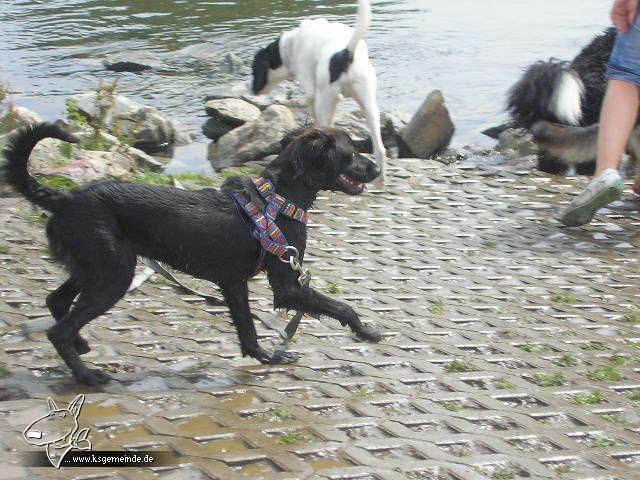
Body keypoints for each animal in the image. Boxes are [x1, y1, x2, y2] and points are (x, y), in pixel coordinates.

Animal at [2, 123, 382, 386]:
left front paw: (261, 357)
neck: (279, 196)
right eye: (353, 152)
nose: (377, 168)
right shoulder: (288, 287)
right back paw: (87, 375)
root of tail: (64, 199)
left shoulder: (233, 283)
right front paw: (366, 332)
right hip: (113, 276)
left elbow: (246, 327)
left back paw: (80, 344)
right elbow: (342, 307)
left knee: (56, 302)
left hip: (95, 268)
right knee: (58, 330)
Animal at [250, 0, 384, 184]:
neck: (287, 47)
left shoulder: (311, 91)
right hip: (369, 103)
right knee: (380, 148)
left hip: (325, 100)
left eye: (253, 70)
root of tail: (346, 53)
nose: (251, 90)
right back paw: (380, 180)